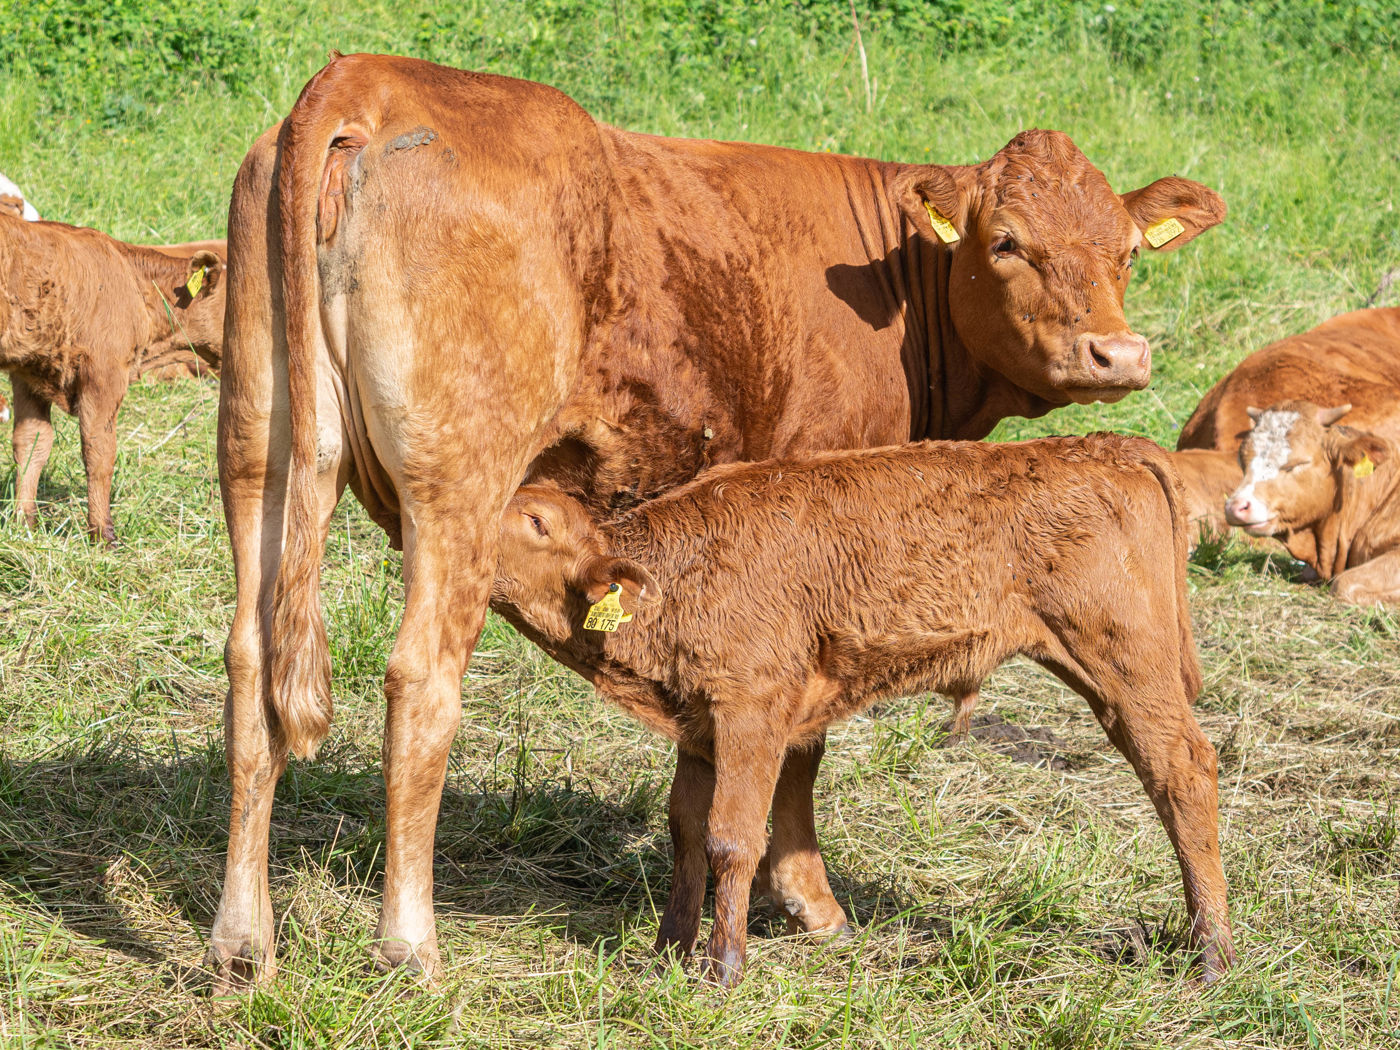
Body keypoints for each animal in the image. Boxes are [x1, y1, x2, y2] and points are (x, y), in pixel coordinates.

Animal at [1, 214, 227, 544]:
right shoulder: (104, 374)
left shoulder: (29, 372)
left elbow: (32, 445)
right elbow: (100, 454)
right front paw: (103, 535)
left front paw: (23, 524)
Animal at [490, 435, 1235, 986]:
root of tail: (1107, 446)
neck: (674, 576)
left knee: (1183, 772)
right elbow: (686, 832)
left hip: (1126, 666)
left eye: (534, 521)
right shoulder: (698, 728)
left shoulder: (752, 712)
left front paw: (723, 972)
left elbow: (732, 837)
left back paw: (1213, 956)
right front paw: (667, 954)